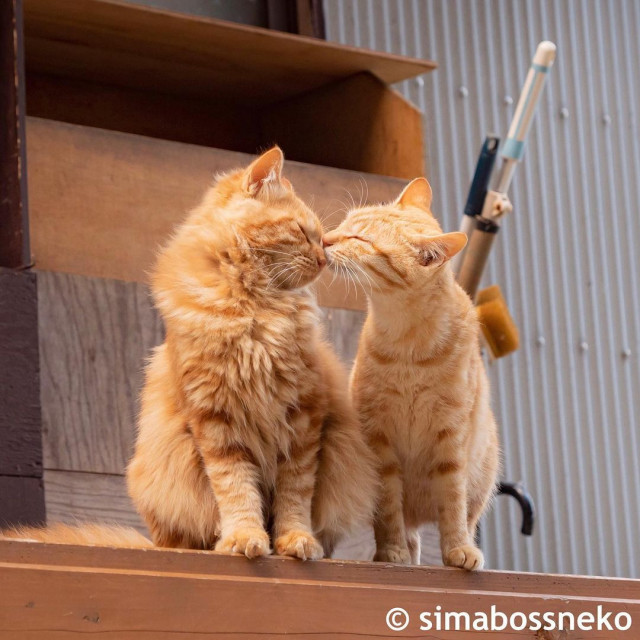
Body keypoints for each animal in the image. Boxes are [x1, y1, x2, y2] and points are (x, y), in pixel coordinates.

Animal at [125, 148, 378, 556]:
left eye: (324, 241)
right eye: (304, 232)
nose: (324, 260)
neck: (255, 309)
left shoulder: (303, 418)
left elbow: (295, 495)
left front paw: (296, 540)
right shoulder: (215, 421)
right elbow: (236, 490)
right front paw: (244, 538)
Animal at [324, 179, 500, 568]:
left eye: (358, 238)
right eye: (344, 224)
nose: (324, 238)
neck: (409, 342)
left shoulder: (452, 434)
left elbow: (452, 501)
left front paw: (458, 549)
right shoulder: (378, 435)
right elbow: (389, 507)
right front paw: (391, 552)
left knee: (464, 515)